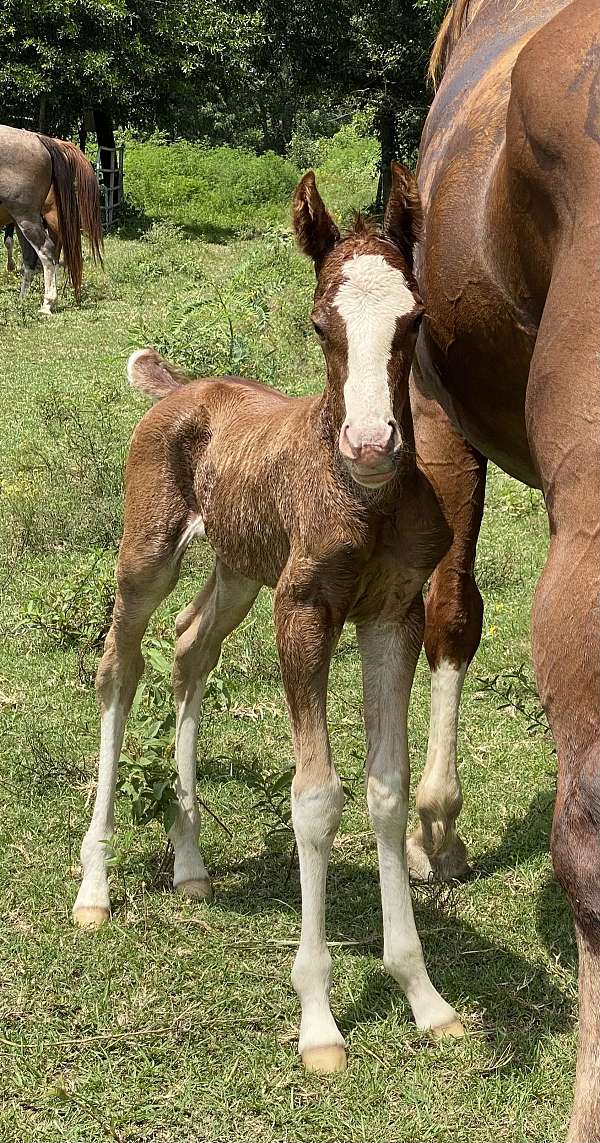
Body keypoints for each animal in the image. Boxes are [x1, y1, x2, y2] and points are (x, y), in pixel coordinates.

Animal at [0, 128, 101, 313]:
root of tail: (40, 139)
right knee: (31, 259)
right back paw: (23, 300)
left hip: (27, 218)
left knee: (47, 251)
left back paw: (47, 303)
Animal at [72, 165, 461, 1074]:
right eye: (320, 321)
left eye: (413, 319)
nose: (371, 442)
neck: (366, 501)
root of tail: (181, 388)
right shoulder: (304, 610)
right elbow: (315, 797)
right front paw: (319, 1019)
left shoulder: (391, 613)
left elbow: (386, 790)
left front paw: (424, 995)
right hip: (148, 555)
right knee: (120, 665)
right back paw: (94, 884)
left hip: (238, 571)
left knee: (189, 650)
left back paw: (189, 860)